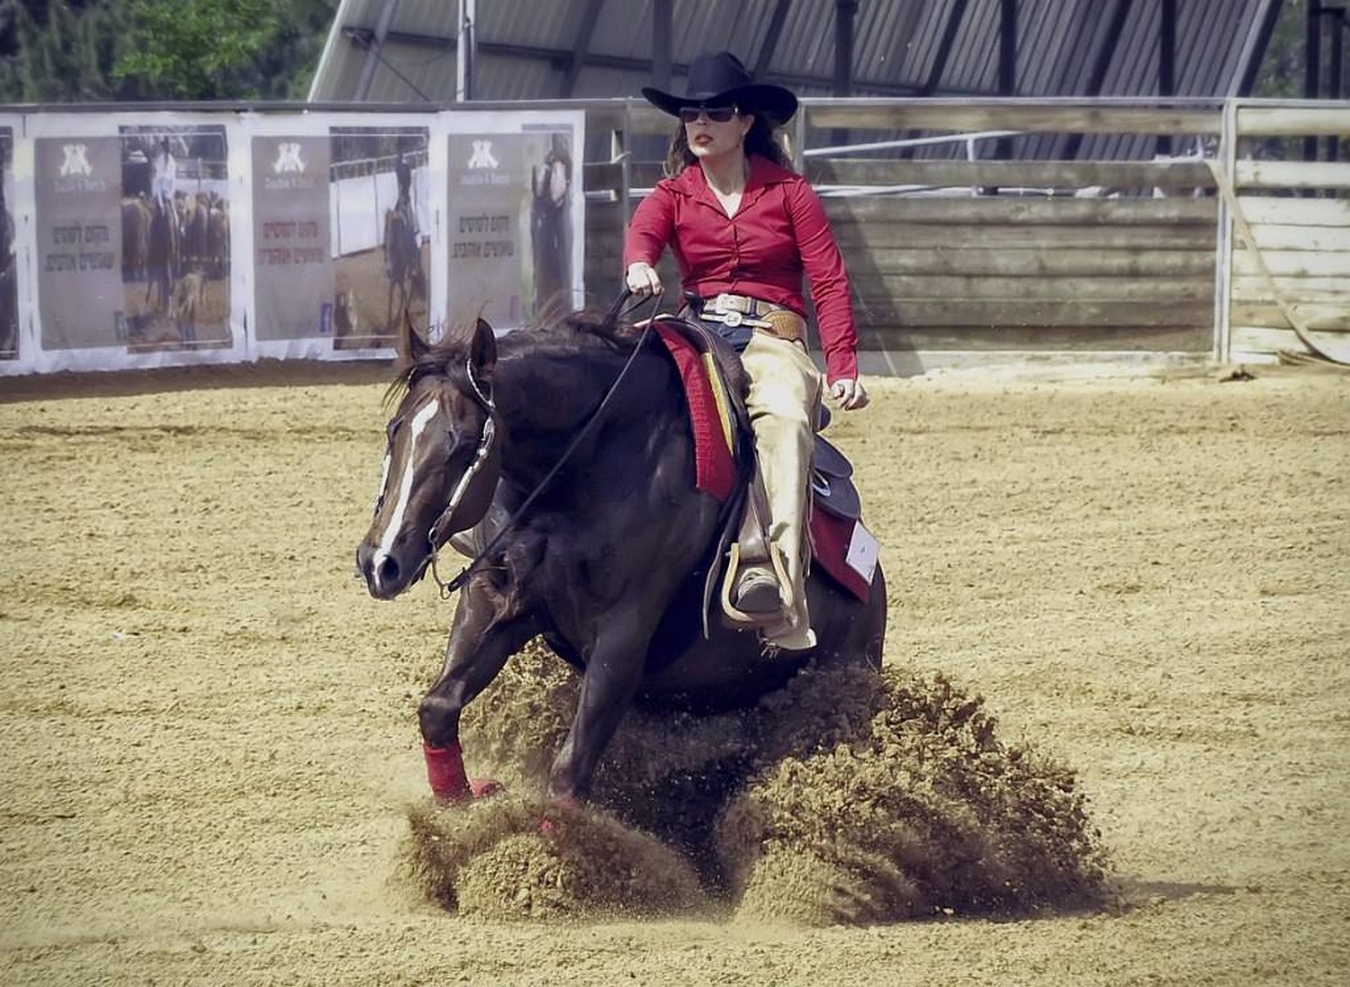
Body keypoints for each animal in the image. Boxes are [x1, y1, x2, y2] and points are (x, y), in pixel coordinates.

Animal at [353, 313, 891, 804]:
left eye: (464, 445)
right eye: (394, 429)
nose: (381, 561)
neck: (586, 464)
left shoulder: (622, 634)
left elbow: (568, 777)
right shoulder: (494, 600)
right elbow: (438, 708)